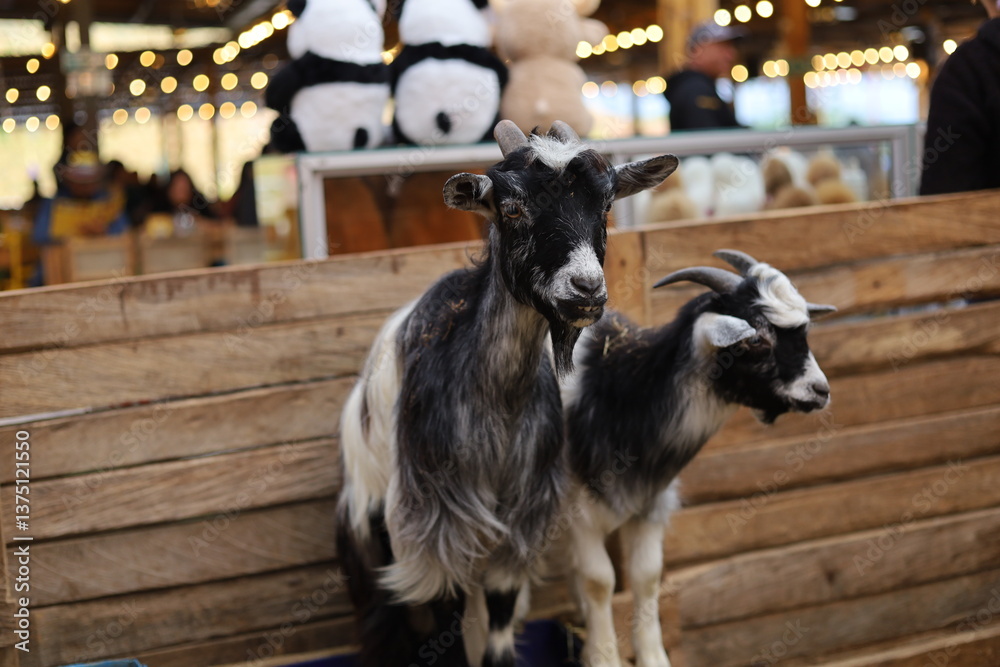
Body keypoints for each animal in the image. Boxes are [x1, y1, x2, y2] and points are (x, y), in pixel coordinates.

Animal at [336, 119, 678, 667]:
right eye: (512, 208)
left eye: (605, 205)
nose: (586, 289)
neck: (498, 402)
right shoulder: (437, 527)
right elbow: (442, 627)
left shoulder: (516, 522)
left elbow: (495, 628)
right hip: (372, 531)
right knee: (388, 624)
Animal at [561, 250, 837, 667]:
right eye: (757, 338)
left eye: (804, 333)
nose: (820, 391)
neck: (617, 391)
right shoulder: (577, 506)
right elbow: (599, 581)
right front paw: (603, 657)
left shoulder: (650, 501)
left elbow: (646, 576)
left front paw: (653, 657)